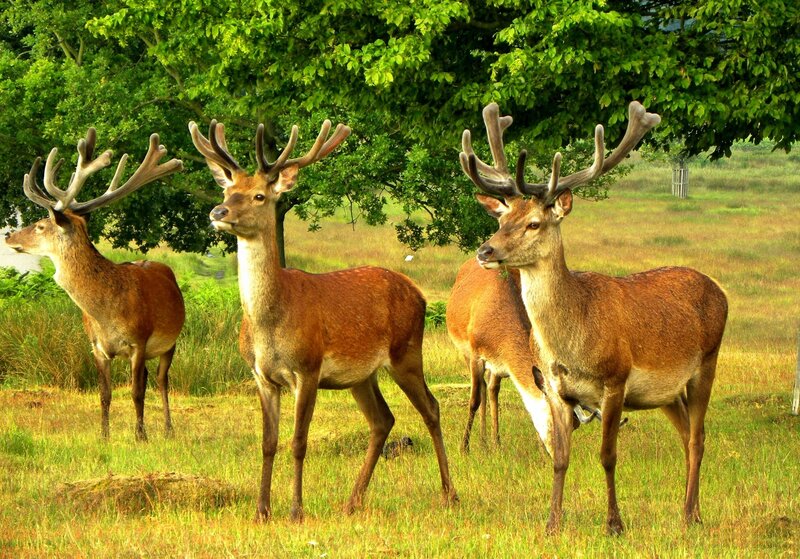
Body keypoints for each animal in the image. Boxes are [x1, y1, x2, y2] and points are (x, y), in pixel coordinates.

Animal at [4, 128, 185, 442]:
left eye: (40, 226)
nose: (8, 236)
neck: (106, 312)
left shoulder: (138, 341)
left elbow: (136, 393)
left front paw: (140, 437)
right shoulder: (97, 347)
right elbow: (105, 394)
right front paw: (104, 436)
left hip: (169, 342)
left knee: (162, 381)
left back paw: (168, 429)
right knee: (149, 379)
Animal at [188, 117, 458, 522]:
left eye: (259, 196)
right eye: (228, 189)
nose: (218, 213)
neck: (269, 324)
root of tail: (419, 292)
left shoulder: (308, 368)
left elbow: (299, 442)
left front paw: (296, 511)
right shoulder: (260, 375)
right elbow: (268, 442)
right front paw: (261, 511)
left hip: (407, 352)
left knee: (431, 408)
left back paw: (449, 494)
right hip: (362, 375)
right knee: (382, 420)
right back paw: (352, 501)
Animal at [459, 101, 728, 535]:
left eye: (534, 223)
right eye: (500, 220)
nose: (485, 251)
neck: (573, 341)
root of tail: (719, 291)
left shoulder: (615, 379)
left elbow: (607, 455)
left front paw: (614, 524)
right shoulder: (556, 388)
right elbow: (560, 458)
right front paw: (552, 524)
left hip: (707, 362)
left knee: (698, 437)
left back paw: (690, 515)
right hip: (667, 392)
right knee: (689, 433)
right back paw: (692, 510)